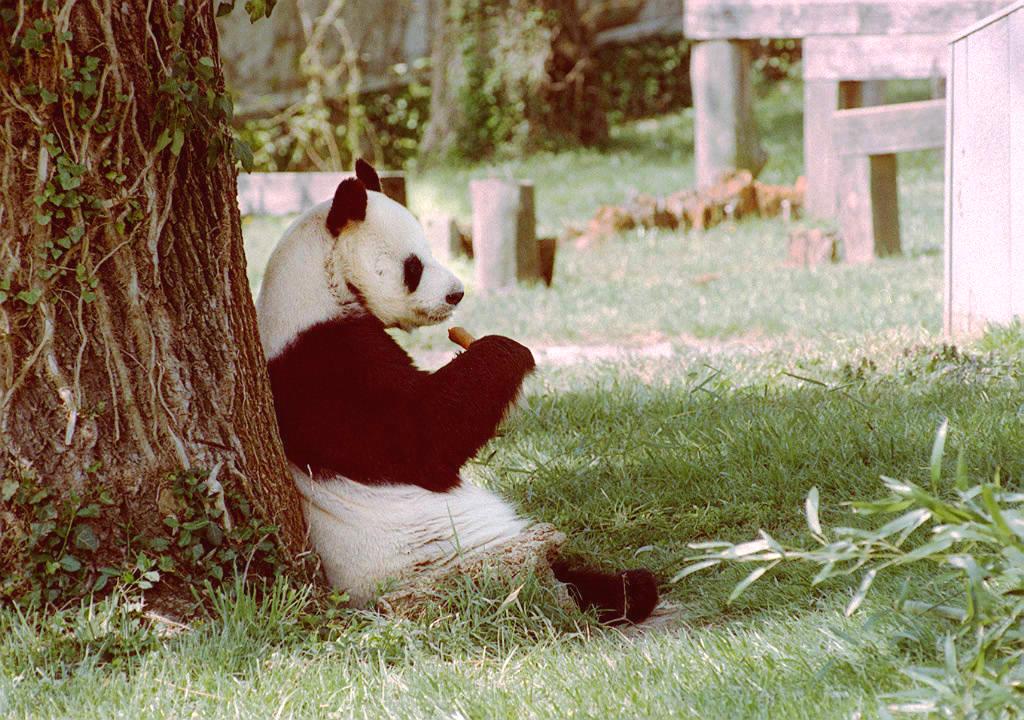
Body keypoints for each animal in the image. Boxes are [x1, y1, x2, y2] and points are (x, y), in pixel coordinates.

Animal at [256, 159, 658, 624]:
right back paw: (622, 590)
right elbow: (417, 438)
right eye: (413, 266)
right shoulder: (323, 363)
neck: (317, 281)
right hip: (456, 559)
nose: (457, 294)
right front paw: (505, 348)